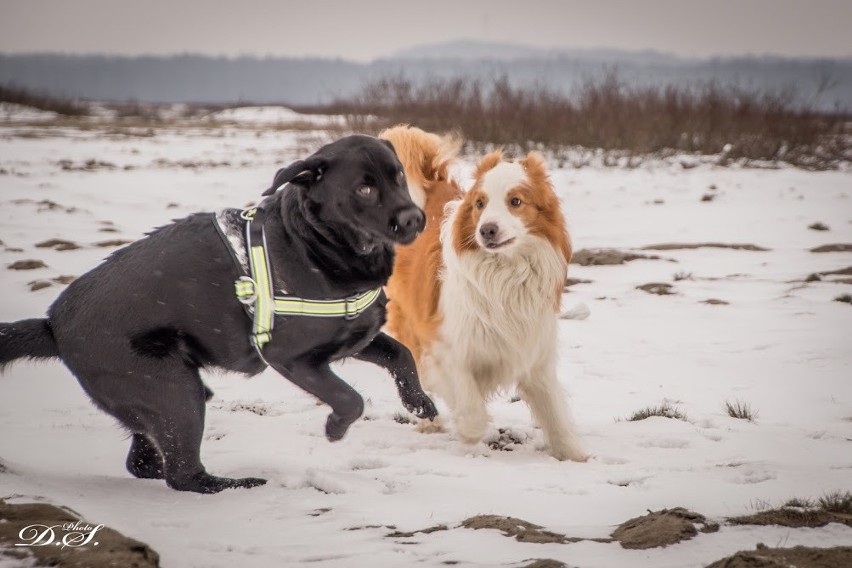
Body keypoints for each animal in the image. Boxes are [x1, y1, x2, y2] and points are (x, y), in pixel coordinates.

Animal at [0, 134, 436, 492]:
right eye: (364, 187)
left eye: (398, 177)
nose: (415, 218)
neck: (314, 243)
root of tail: (52, 324)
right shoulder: (292, 358)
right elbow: (350, 398)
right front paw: (334, 429)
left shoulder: (353, 337)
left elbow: (401, 355)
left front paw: (420, 404)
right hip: (175, 391)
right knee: (182, 475)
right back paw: (237, 485)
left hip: (162, 396)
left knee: (144, 462)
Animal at [384, 125, 588, 462]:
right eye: (479, 204)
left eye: (515, 201)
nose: (486, 230)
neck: (505, 272)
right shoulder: (447, 346)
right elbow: (470, 404)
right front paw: (471, 432)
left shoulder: (534, 353)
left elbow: (553, 412)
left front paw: (574, 454)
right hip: (409, 320)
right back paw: (430, 422)